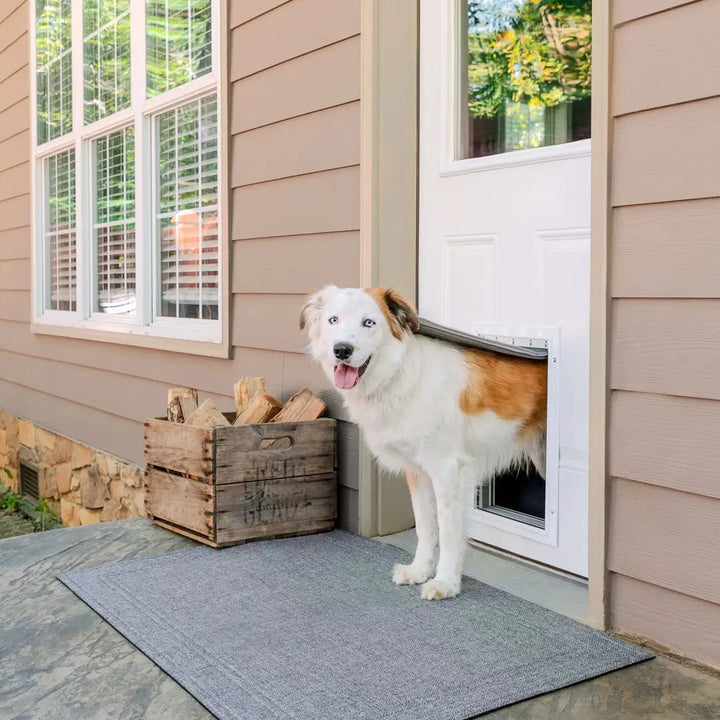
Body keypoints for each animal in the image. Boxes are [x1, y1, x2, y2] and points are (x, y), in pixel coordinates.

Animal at [300, 284, 548, 600]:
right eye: (334, 320)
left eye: (369, 323)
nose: (341, 350)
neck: (402, 376)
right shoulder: (417, 472)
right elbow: (426, 526)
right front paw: (419, 570)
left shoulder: (448, 471)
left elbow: (449, 531)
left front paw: (446, 582)